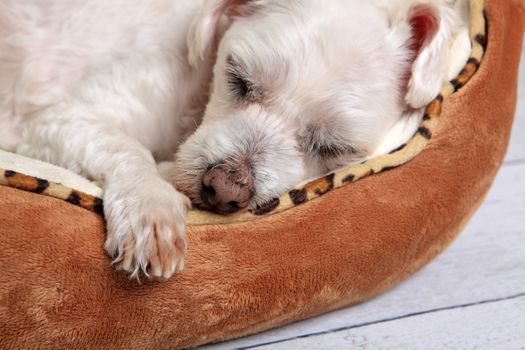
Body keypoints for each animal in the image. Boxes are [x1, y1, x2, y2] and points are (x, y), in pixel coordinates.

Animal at [0, 0, 468, 278]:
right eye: (238, 78)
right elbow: (127, 148)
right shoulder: (62, 121)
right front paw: (150, 205)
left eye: (333, 146)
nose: (224, 188)